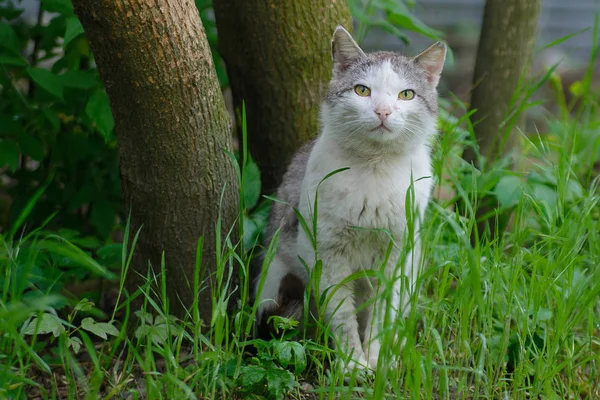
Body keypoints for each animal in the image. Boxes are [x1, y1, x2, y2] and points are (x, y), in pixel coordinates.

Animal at [253, 26, 446, 374]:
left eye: (406, 95)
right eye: (362, 90)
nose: (383, 111)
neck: (375, 168)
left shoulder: (395, 256)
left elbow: (381, 315)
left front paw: (378, 360)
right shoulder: (329, 256)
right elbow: (342, 316)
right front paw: (353, 365)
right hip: (275, 279)